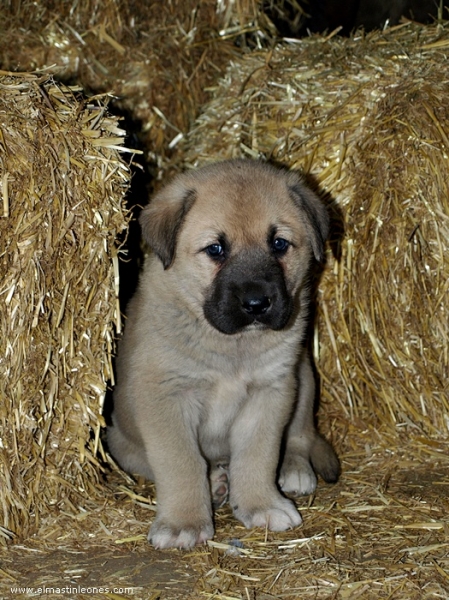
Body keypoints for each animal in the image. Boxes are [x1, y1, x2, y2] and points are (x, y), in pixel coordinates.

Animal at [107, 159, 340, 548]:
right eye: (215, 249)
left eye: (279, 244)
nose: (257, 304)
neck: (233, 347)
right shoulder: (165, 397)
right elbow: (180, 462)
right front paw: (183, 522)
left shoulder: (271, 390)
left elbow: (258, 455)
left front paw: (261, 504)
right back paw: (216, 481)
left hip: (304, 378)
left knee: (301, 434)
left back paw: (294, 470)